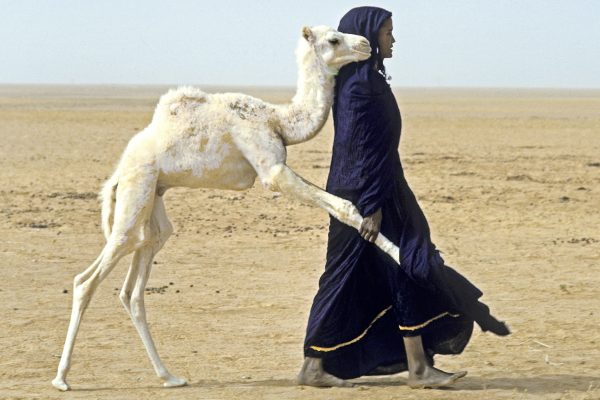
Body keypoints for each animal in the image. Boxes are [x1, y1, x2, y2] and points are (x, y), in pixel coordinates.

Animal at [51, 25, 398, 390]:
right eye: (333, 39)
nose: (365, 44)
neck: (277, 120)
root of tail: (118, 172)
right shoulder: (271, 169)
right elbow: (343, 205)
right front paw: (403, 257)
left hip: (154, 198)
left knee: (135, 281)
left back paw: (169, 376)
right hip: (136, 190)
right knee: (88, 278)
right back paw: (61, 378)